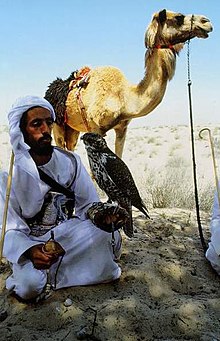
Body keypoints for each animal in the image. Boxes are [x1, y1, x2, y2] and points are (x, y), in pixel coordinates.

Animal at [45, 9, 213, 157]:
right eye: (179, 17)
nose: (207, 22)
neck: (124, 97)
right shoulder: (95, 128)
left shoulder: (122, 128)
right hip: (58, 125)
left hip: (72, 128)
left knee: (70, 148)